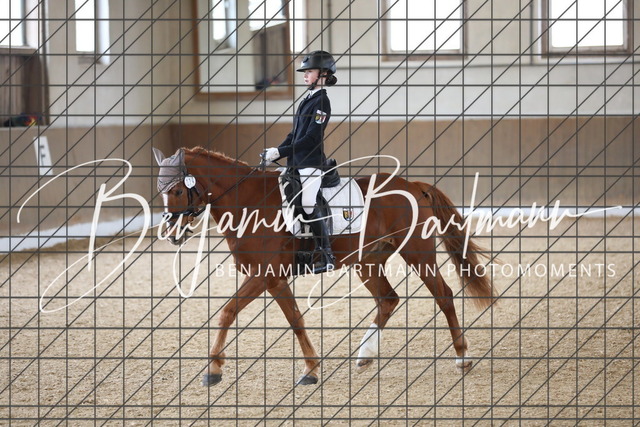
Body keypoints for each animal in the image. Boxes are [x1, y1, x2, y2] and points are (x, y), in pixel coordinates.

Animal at [153, 146, 496, 386]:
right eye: (160, 191)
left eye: (178, 190)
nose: (171, 234)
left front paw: (213, 370)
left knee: (444, 295)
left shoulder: (264, 276)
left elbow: (228, 313)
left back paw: (462, 358)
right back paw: (365, 355)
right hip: (367, 261)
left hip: (416, 254)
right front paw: (311, 370)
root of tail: (413, 185)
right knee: (388, 300)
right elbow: (295, 320)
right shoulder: (275, 280)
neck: (247, 200)